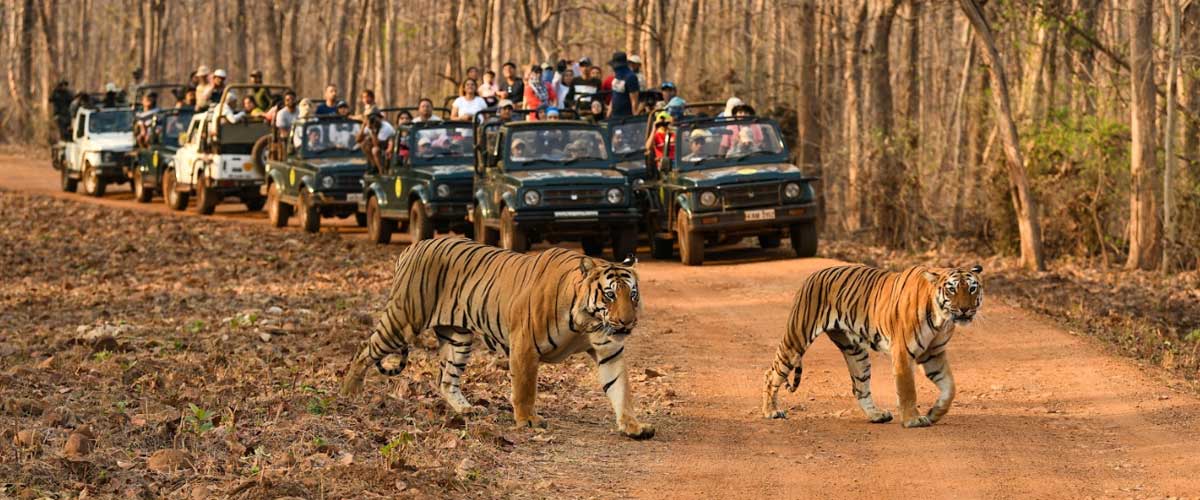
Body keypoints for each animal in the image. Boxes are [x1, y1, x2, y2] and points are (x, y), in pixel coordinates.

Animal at [338, 236, 657, 438]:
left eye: (632, 295)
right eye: (610, 295)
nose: (627, 322)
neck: (586, 322)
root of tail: (412, 247)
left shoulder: (609, 351)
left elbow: (620, 389)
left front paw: (633, 426)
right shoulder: (524, 345)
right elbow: (525, 389)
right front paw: (528, 421)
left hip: (458, 339)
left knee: (445, 379)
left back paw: (468, 411)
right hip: (403, 320)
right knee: (363, 350)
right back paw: (349, 392)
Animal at [758, 262, 984, 426]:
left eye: (972, 288)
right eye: (952, 289)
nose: (965, 310)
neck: (941, 319)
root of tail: (812, 275)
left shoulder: (933, 354)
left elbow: (950, 388)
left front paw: (935, 413)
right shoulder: (903, 353)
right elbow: (908, 389)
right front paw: (913, 419)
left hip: (855, 352)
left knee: (860, 388)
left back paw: (877, 415)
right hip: (796, 337)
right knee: (771, 373)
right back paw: (771, 411)